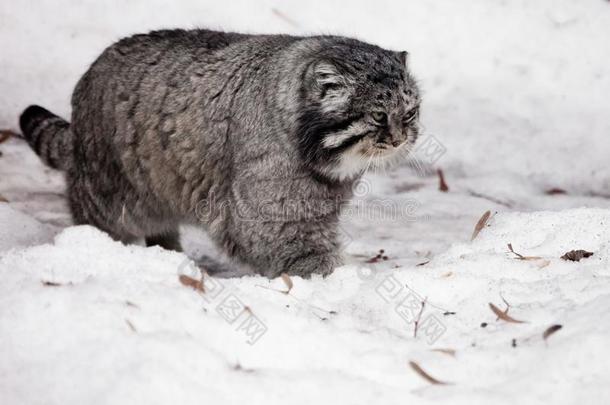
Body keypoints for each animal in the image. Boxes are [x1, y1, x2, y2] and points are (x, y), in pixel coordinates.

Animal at [19, 26, 418, 276]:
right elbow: (303, 254)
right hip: (107, 194)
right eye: (379, 116)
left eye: (410, 113)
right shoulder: (276, 217)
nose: (401, 138)